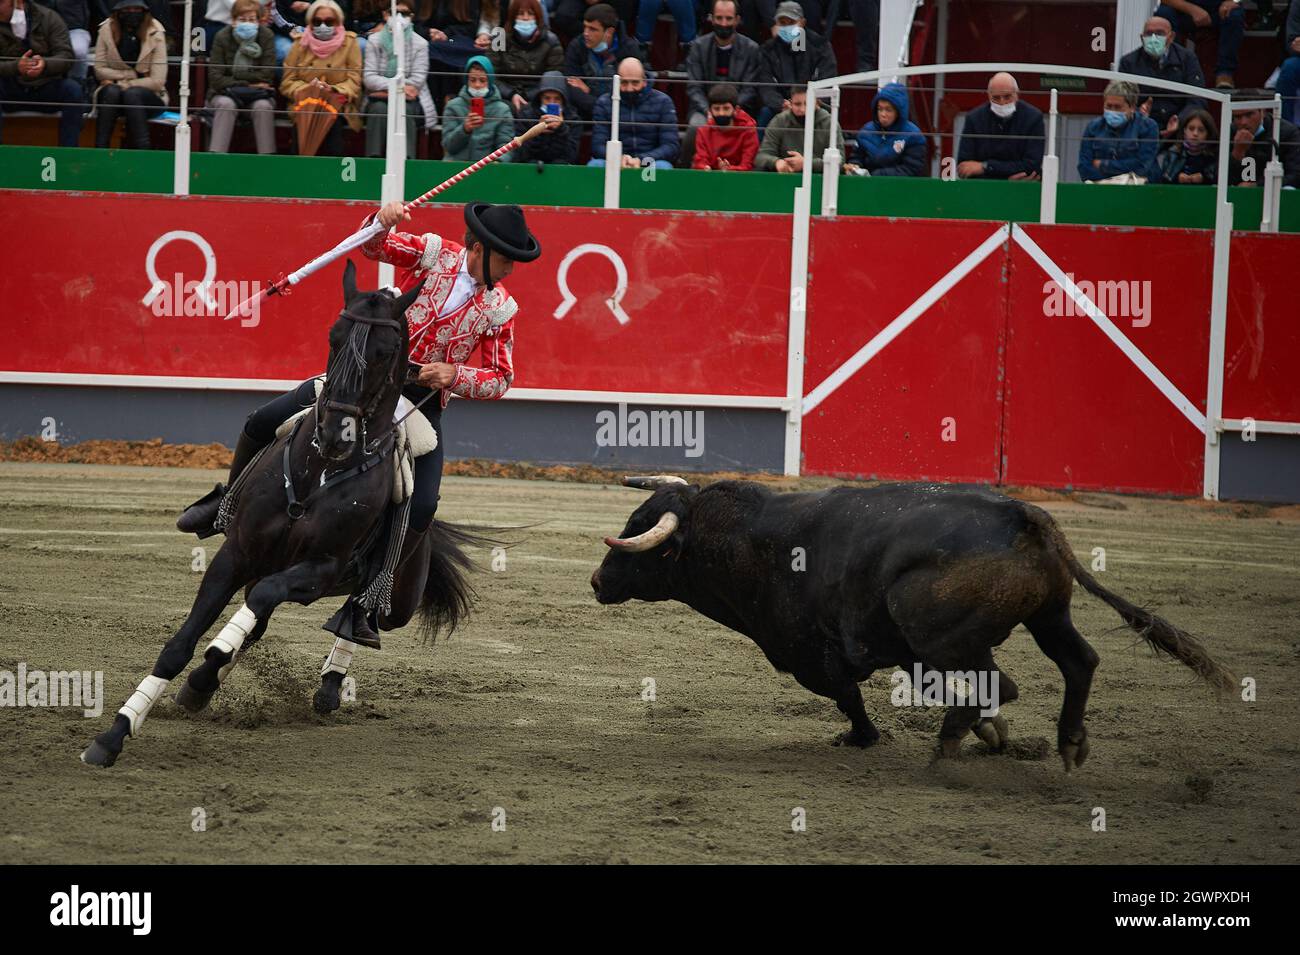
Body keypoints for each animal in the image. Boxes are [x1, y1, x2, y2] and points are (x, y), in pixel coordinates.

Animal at [83, 261, 486, 769]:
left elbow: (258, 605)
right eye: (333, 337)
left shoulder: (320, 570)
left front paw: (205, 673)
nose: (335, 433)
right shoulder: (236, 554)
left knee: (356, 611)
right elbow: (180, 645)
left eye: (387, 351)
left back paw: (330, 684)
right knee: (260, 619)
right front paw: (114, 734)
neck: (321, 471)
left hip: (400, 596)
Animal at [592, 478, 1237, 769]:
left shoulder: (812, 657)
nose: (597, 582)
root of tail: (1024, 516)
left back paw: (949, 747)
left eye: (638, 531)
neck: (753, 541)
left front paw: (861, 737)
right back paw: (1067, 743)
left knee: (999, 682)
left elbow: (849, 697)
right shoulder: (902, 651)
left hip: (936, 627)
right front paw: (993, 733)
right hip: (1049, 616)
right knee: (1077, 662)